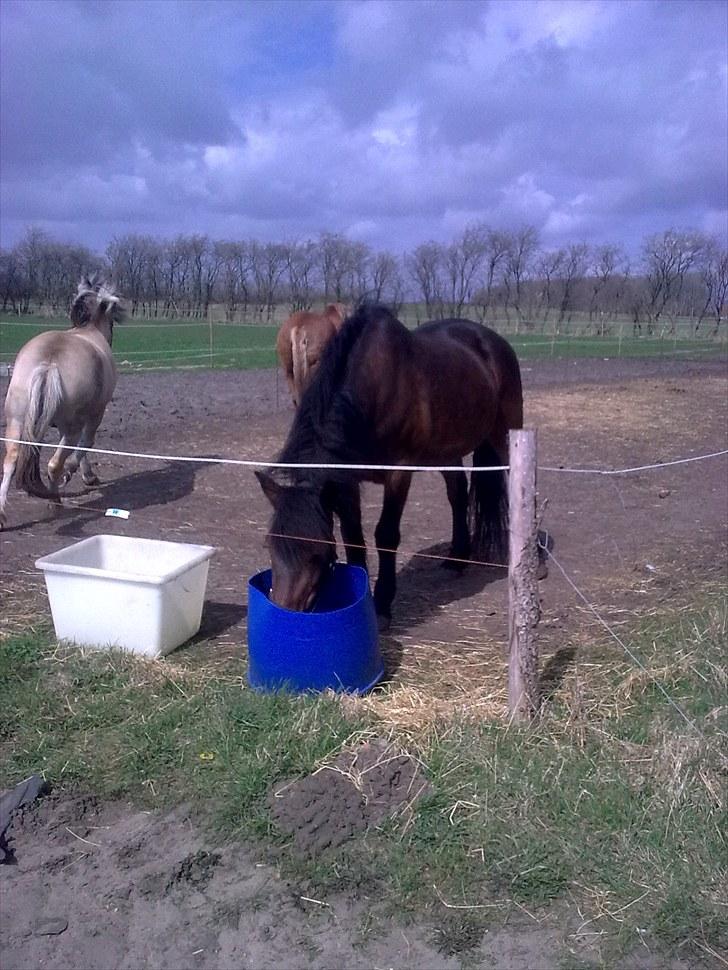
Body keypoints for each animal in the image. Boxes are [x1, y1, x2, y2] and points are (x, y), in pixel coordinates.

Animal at [0, 276, 123, 524]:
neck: (89, 331)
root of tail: (49, 363)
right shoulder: (95, 415)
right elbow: (86, 444)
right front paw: (82, 475)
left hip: (17, 421)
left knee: (10, 459)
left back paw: (1, 514)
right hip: (71, 426)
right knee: (55, 464)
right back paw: (55, 501)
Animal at [256, 298, 524, 624]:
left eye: (318, 554)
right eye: (270, 545)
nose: (285, 611)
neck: (371, 392)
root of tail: (492, 341)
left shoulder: (399, 472)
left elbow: (385, 534)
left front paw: (383, 602)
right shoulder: (346, 479)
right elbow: (353, 537)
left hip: (506, 434)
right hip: (447, 450)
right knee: (458, 494)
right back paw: (457, 558)